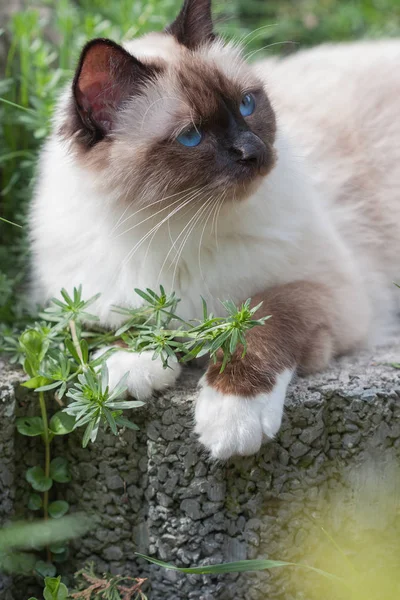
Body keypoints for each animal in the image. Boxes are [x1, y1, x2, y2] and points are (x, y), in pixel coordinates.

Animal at [29, 1, 400, 460]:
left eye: (246, 104)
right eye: (191, 136)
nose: (255, 151)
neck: (176, 229)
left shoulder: (329, 293)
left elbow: (260, 318)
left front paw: (232, 417)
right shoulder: (86, 299)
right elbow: (131, 316)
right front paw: (126, 365)